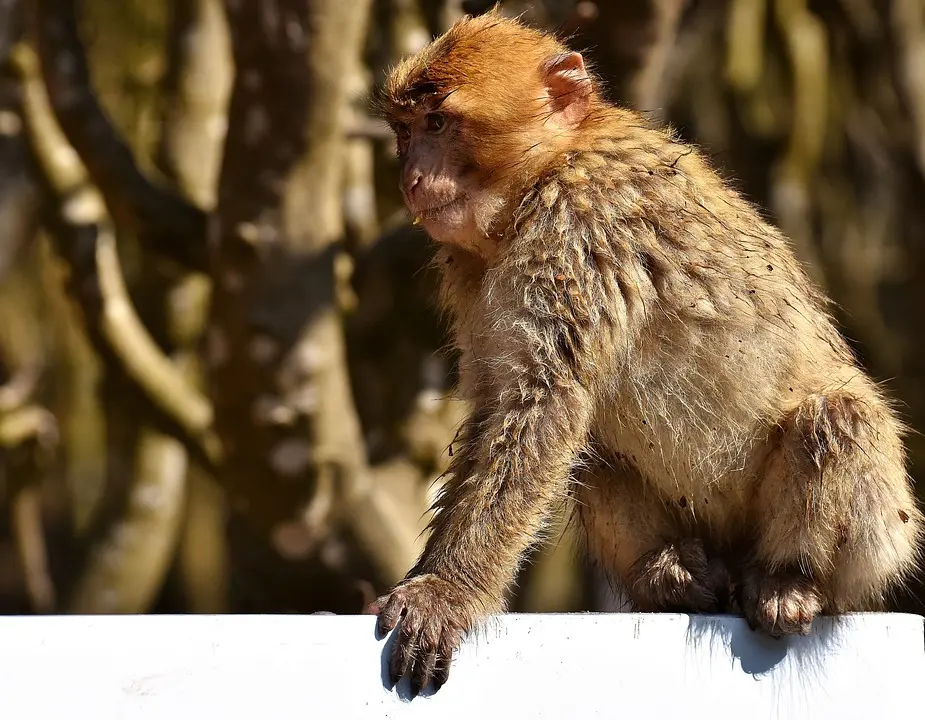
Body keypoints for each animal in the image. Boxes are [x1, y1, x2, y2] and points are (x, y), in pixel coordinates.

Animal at [368, 8, 924, 696]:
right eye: (404, 130)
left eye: (439, 124)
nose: (410, 178)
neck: (545, 172)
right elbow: (508, 402)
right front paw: (430, 576)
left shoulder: (577, 224)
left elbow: (544, 399)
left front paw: (448, 591)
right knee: (599, 449)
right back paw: (670, 574)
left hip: (880, 534)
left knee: (840, 417)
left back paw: (790, 581)